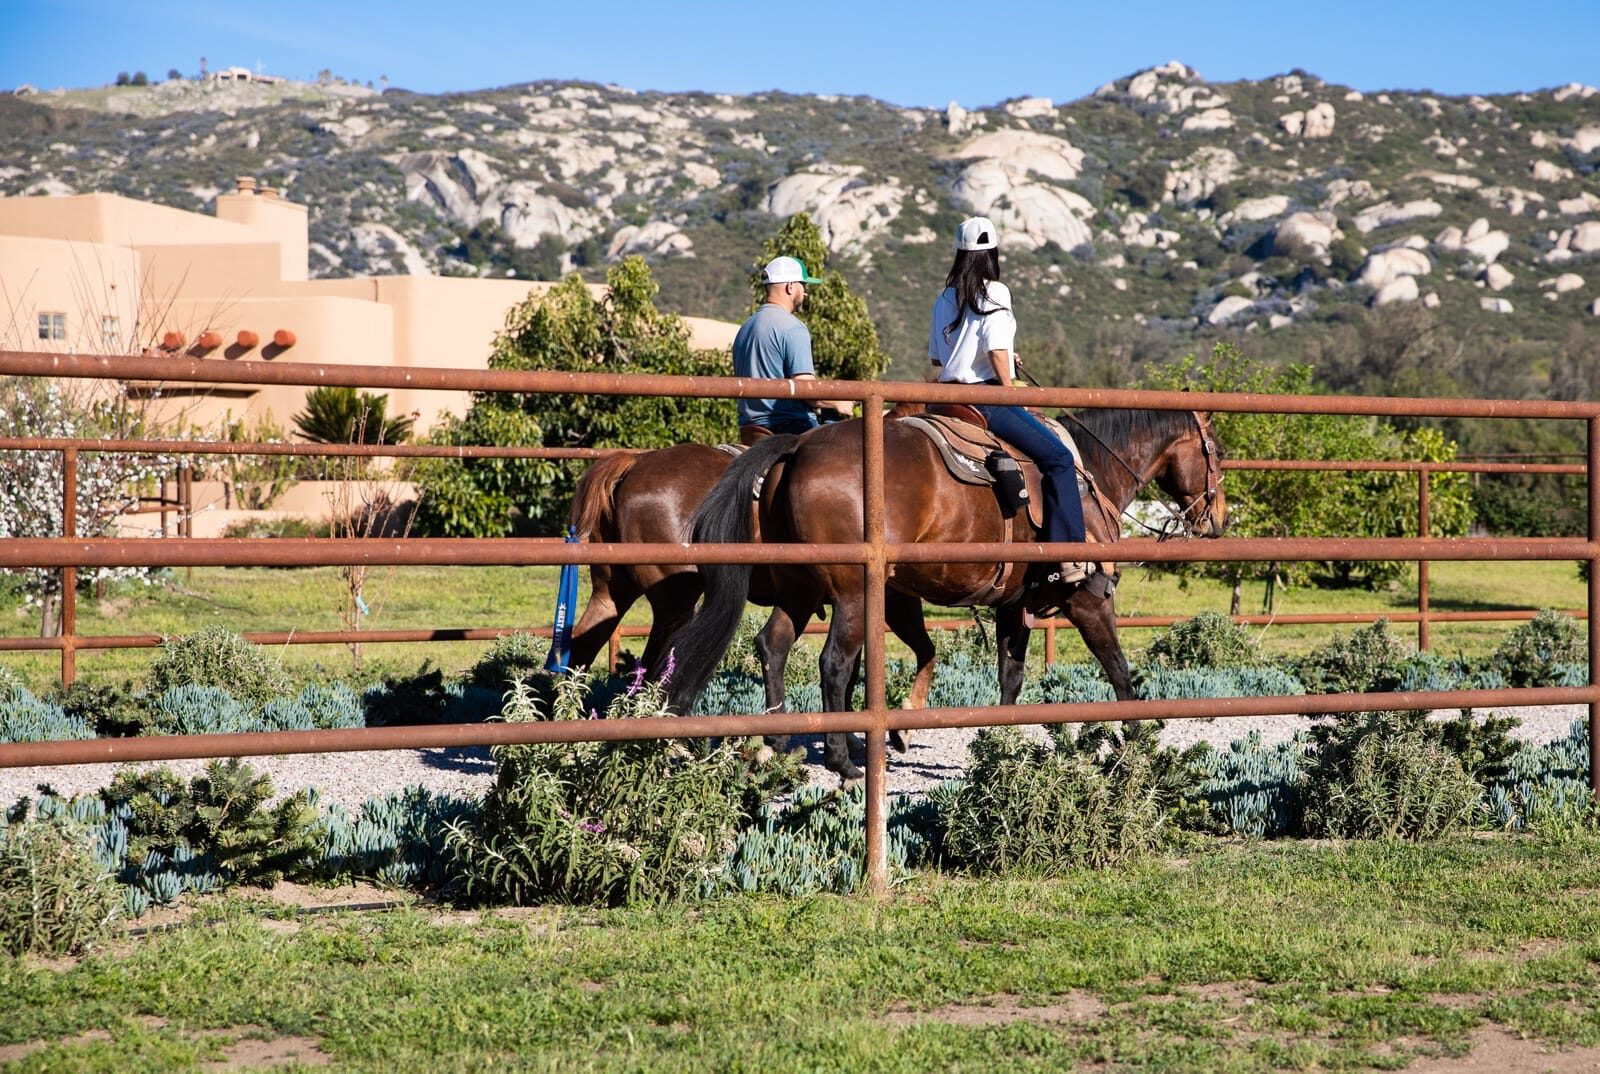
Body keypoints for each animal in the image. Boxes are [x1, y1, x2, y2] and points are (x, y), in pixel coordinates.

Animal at [665, 408, 1228, 780]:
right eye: (1217, 452)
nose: (1218, 519)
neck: (1089, 472)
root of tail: (798, 447)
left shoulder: (1011, 606)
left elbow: (1009, 674)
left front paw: (996, 737)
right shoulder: (1088, 598)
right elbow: (1117, 668)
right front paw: (1135, 737)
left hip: (803, 590)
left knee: (774, 645)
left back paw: (778, 740)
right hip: (853, 593)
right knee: (834, 663)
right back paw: (845, 762)